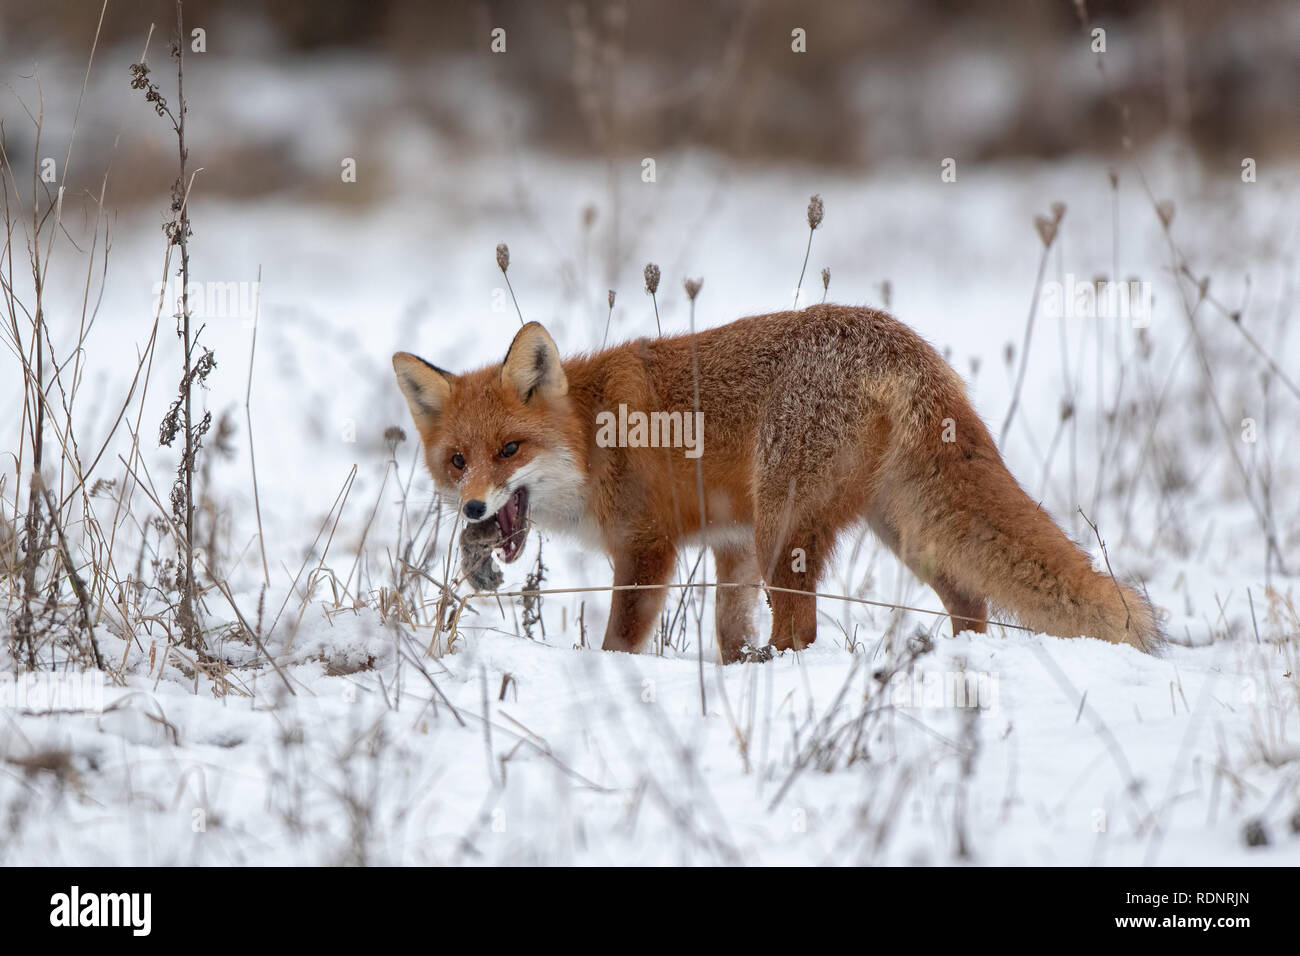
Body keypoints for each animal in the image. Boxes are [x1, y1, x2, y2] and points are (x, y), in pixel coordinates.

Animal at [390, 308, 1164, 665]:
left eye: (509, 450)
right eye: (457, 461)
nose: (474, 506)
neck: (592, 433)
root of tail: (903, 341)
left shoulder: (648, 548)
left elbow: (620, 641)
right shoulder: (729, 544)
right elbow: (729, 629)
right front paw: (733, 670)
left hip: (786, 531)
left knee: (804, 630)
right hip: (896, 530)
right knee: (968, 599)